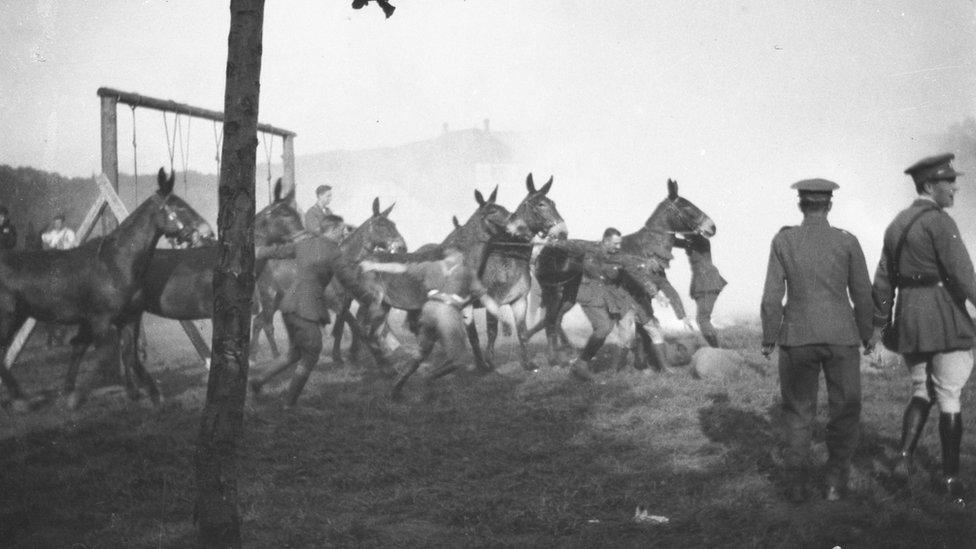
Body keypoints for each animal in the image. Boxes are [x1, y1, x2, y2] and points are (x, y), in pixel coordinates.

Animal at [0, 168, 210, 412]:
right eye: (179, 207)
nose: (207, 231)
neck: (116, 263)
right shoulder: (100, 322)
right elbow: (99, 356)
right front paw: (76, 395)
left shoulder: (129, 318)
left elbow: (129, 356)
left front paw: (147, 394)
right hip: (8, 318)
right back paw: (21, 399)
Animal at [528, 178, 712, 368]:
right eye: (687, 206)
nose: (712, 227)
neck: (645, 249)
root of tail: (544, 251)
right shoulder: (640, 294)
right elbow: (642, 327)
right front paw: (641, 362)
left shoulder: (645, 293)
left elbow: (643, 327)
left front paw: (642, 361)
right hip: (554, 293)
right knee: (549, 322)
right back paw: (553, 357)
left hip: (568, 297)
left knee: (554, 321)